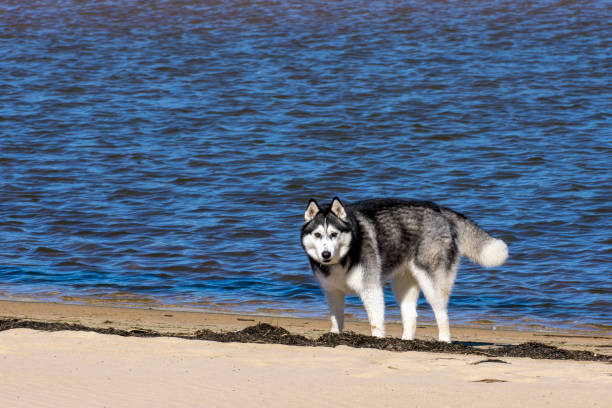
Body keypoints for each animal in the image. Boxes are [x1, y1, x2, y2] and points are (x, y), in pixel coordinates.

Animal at [300, 197, 506, 342]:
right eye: (317, 235)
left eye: (334, 234)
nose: (326, 254)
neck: (343, 257)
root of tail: (439, 209)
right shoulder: (332, 292)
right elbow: (337, 320)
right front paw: (334, 337)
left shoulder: (371, 289)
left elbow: (376, 322)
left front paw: (377, 341)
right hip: (403, 285)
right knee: (411, 316)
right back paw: (406, 341)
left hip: (432, 283)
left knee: (442, 314)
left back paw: (444, 341)